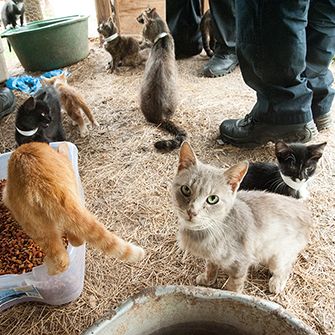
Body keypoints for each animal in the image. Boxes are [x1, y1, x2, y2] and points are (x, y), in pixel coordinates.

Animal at [2, 142, 146, 276]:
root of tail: (43, 183)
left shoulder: (6, 196)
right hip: (67, 206)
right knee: (76, 240)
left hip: (33, 226)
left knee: (61, 257)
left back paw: (48, 270)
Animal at [172, 143, 314, 296]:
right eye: (186, 189)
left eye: (212, 199)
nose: (191, 212)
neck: (212, 228)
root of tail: (305, 212)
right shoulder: (212, 256)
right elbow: (211, 266)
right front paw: (207, 279)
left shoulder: (241, 262)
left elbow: (235, 285)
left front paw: (231, 295)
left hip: (278, 256)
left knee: (286, 266)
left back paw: (276, 283)